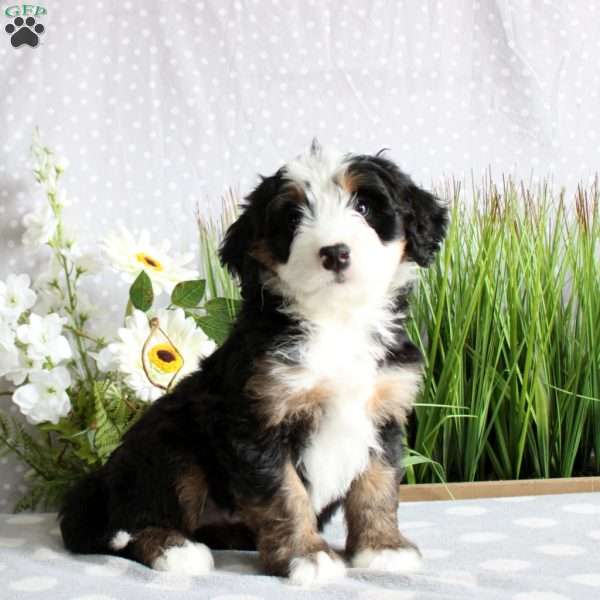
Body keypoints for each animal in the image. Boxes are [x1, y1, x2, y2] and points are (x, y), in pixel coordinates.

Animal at [59, 143, 446, 584]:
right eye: (293, 218)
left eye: (364, 206)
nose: (335, 253)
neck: (336, 321)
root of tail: (102, 484)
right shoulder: (258, 420)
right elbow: (286, 495)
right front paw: (305, 555)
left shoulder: (384, 414)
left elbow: (378, 487)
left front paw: (382, 548)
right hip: (173, 448)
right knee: (134, 521)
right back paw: (175, 550)